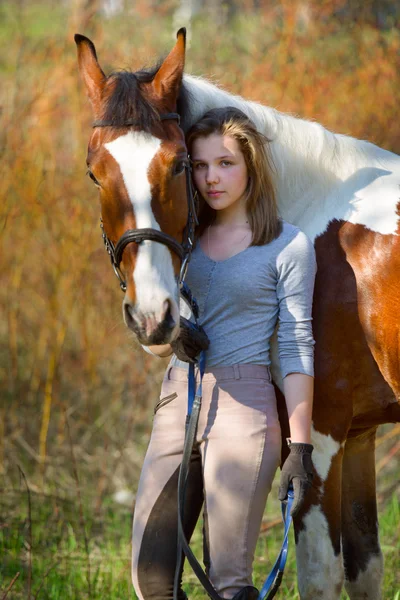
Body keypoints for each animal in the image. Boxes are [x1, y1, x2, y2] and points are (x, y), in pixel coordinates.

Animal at [75, 30, 400, 600]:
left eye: (179, 164)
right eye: (96, 174)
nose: (153, 317)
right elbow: (366, 567)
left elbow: (320, 576)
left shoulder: (319, 435)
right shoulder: (360, 434)